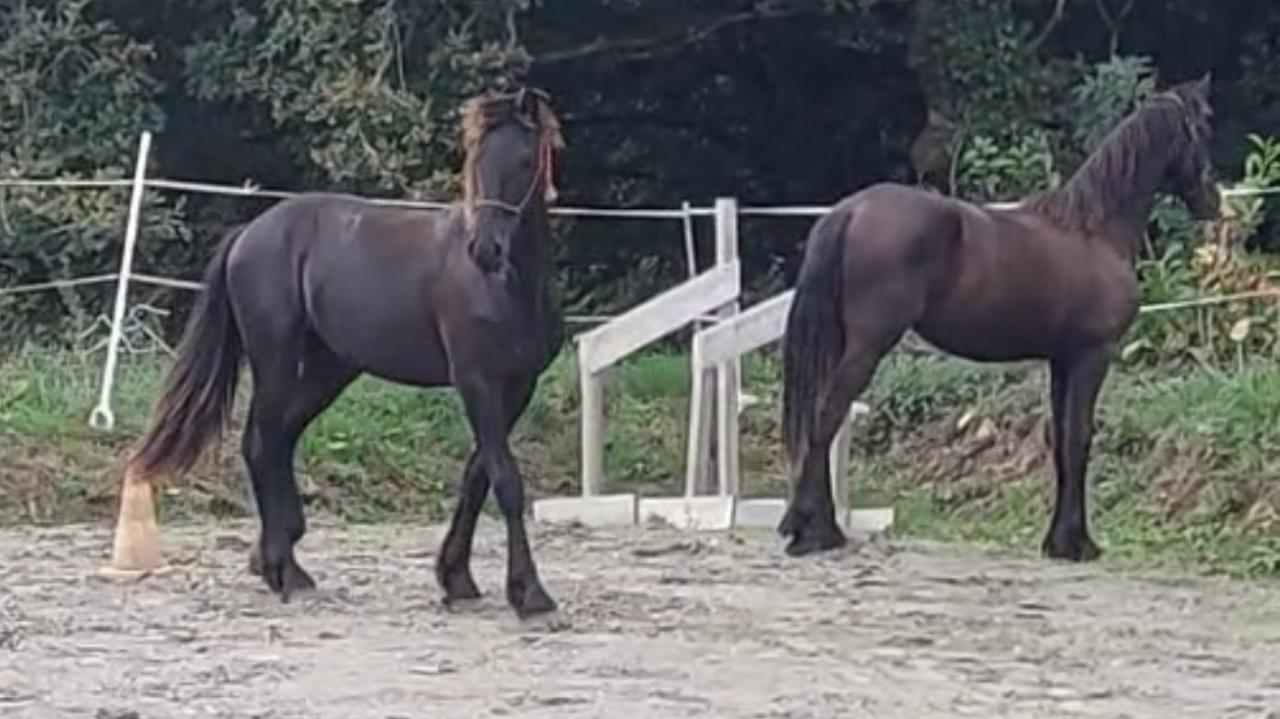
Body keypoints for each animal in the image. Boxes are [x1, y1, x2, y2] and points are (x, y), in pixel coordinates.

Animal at [123, 87, 567, 619]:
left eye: (525, 159)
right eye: (477, 157)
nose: (484, 249)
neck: (508, 288)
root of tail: (250, 233)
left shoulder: (518, 386)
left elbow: (477, 475)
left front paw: (456, 576)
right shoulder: (476, 381)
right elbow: (505, 479)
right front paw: (531, 593)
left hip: (329, 370)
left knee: (280, 440)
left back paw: (283, 561)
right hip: (276, 360)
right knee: (261, 442)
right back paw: (280, 569)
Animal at [779, 74, 1219, 560]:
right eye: (1203, 128)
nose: (1214, 202)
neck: (1093, 231)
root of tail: (851, 209)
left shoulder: (1062, 360)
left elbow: (1060, 441)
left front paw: (1058, 541)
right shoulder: (1092, 355)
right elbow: (1079, 438)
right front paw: (1077, 543)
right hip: (868, 345)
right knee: (826, 417)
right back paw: (818, 533)